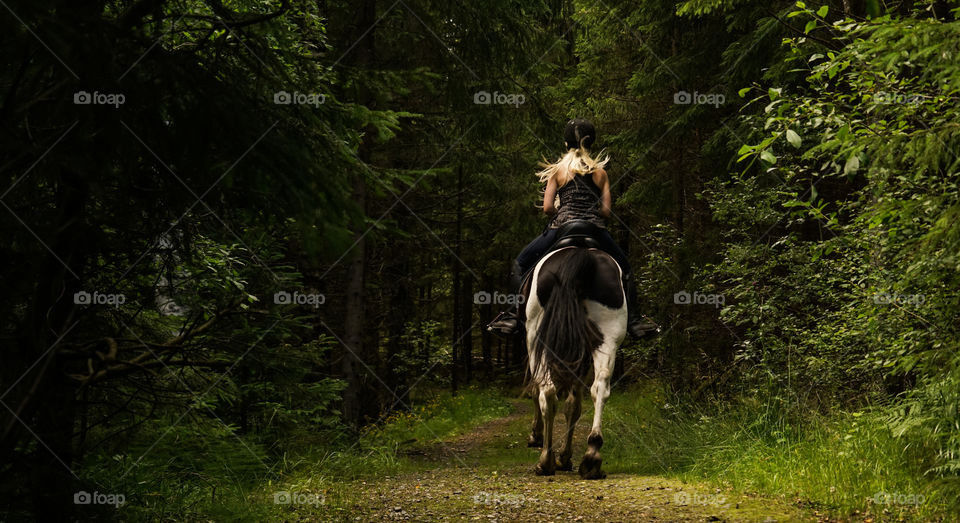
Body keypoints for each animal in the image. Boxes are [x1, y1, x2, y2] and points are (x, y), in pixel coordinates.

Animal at [521, 244, 627, 479]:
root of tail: (582, 254)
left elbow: (538, 392)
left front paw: (538, 437)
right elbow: (574, 406)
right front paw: (565, 456)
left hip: (536, 336)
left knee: (547, 392)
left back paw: (546, 461)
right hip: (608, 335)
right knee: (600, 388)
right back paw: (592, 457)